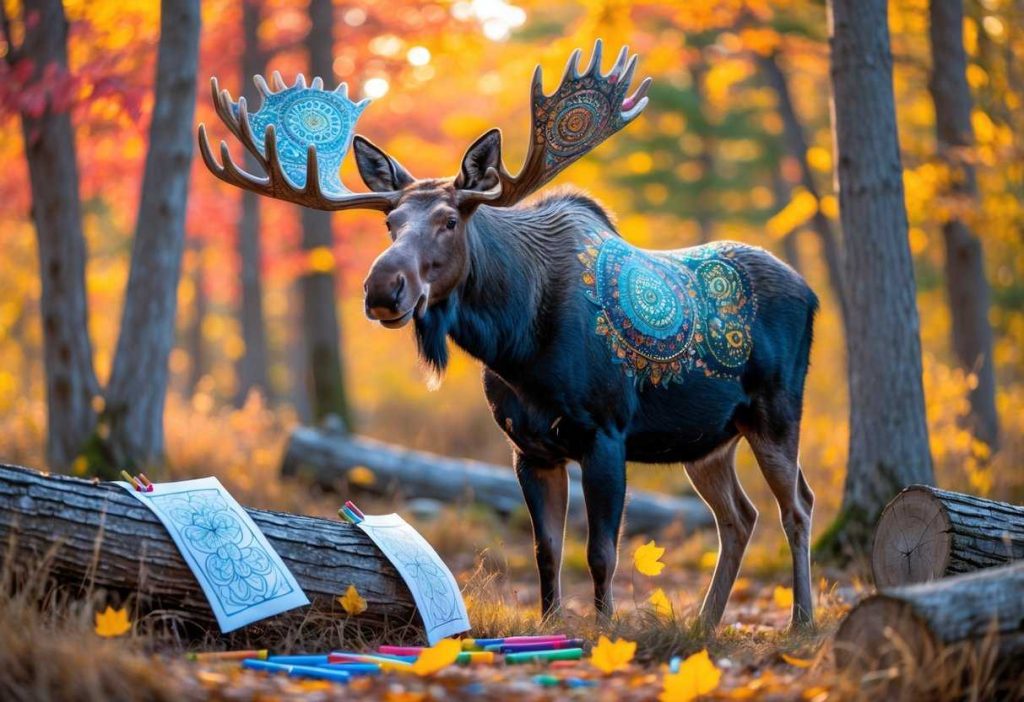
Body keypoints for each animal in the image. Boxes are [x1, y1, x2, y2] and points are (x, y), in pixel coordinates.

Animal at [197, 41, 818, 629]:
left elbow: (601, 553)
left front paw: (605, 630)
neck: (518, 344)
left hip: (776, 413)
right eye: (390, 223)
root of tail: (810, 292)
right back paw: (706, 623)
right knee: (739, 517)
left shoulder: (606, 432)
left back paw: (802, 620)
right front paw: (550, 625)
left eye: (450, 220)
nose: (381, 288)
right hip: (709, 440)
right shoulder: (529, 448)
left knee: (797, 506)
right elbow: (547, 552)